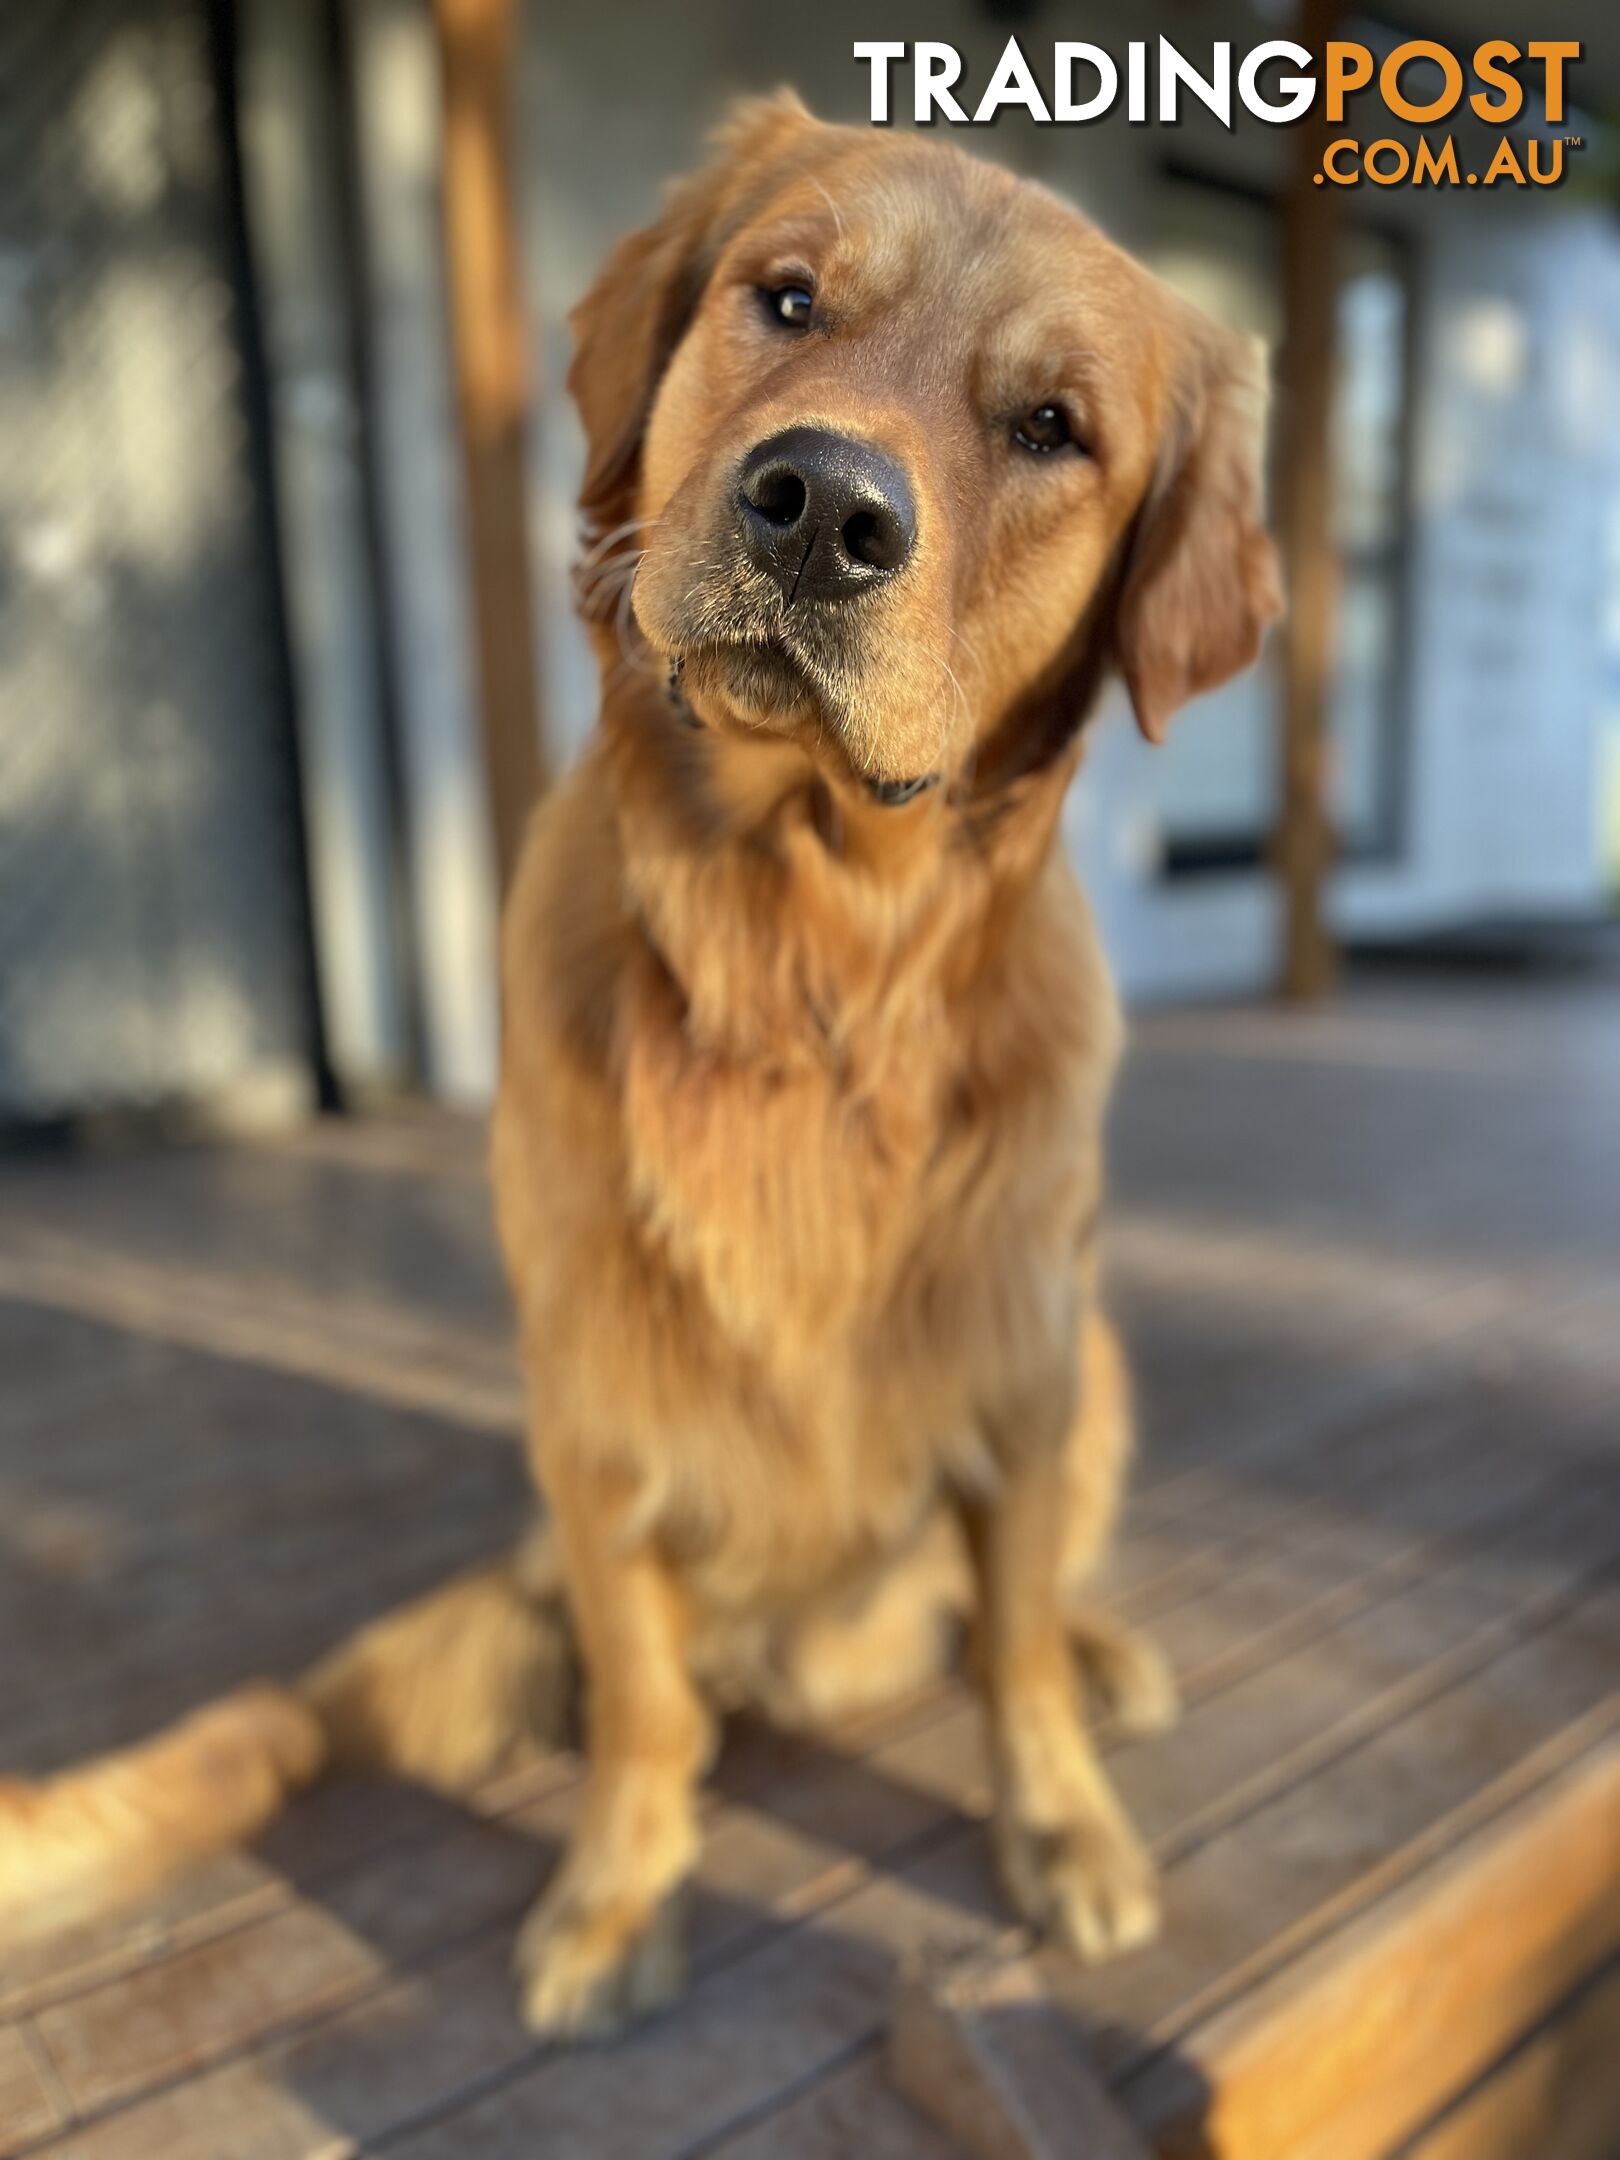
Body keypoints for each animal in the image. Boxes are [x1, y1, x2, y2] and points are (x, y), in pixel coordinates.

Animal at [0, 92, 1278, 2030]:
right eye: (788, 297)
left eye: (1053, 429)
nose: (823, 507)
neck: (799, 959)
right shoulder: (597, 1420)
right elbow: (646, 1703)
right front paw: (618, 1894)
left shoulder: (1024, 1363)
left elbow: (1016, 1656)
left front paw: (1062, 1827)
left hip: (1096, 1360)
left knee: (1018, 1608)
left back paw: (1102, 1647)